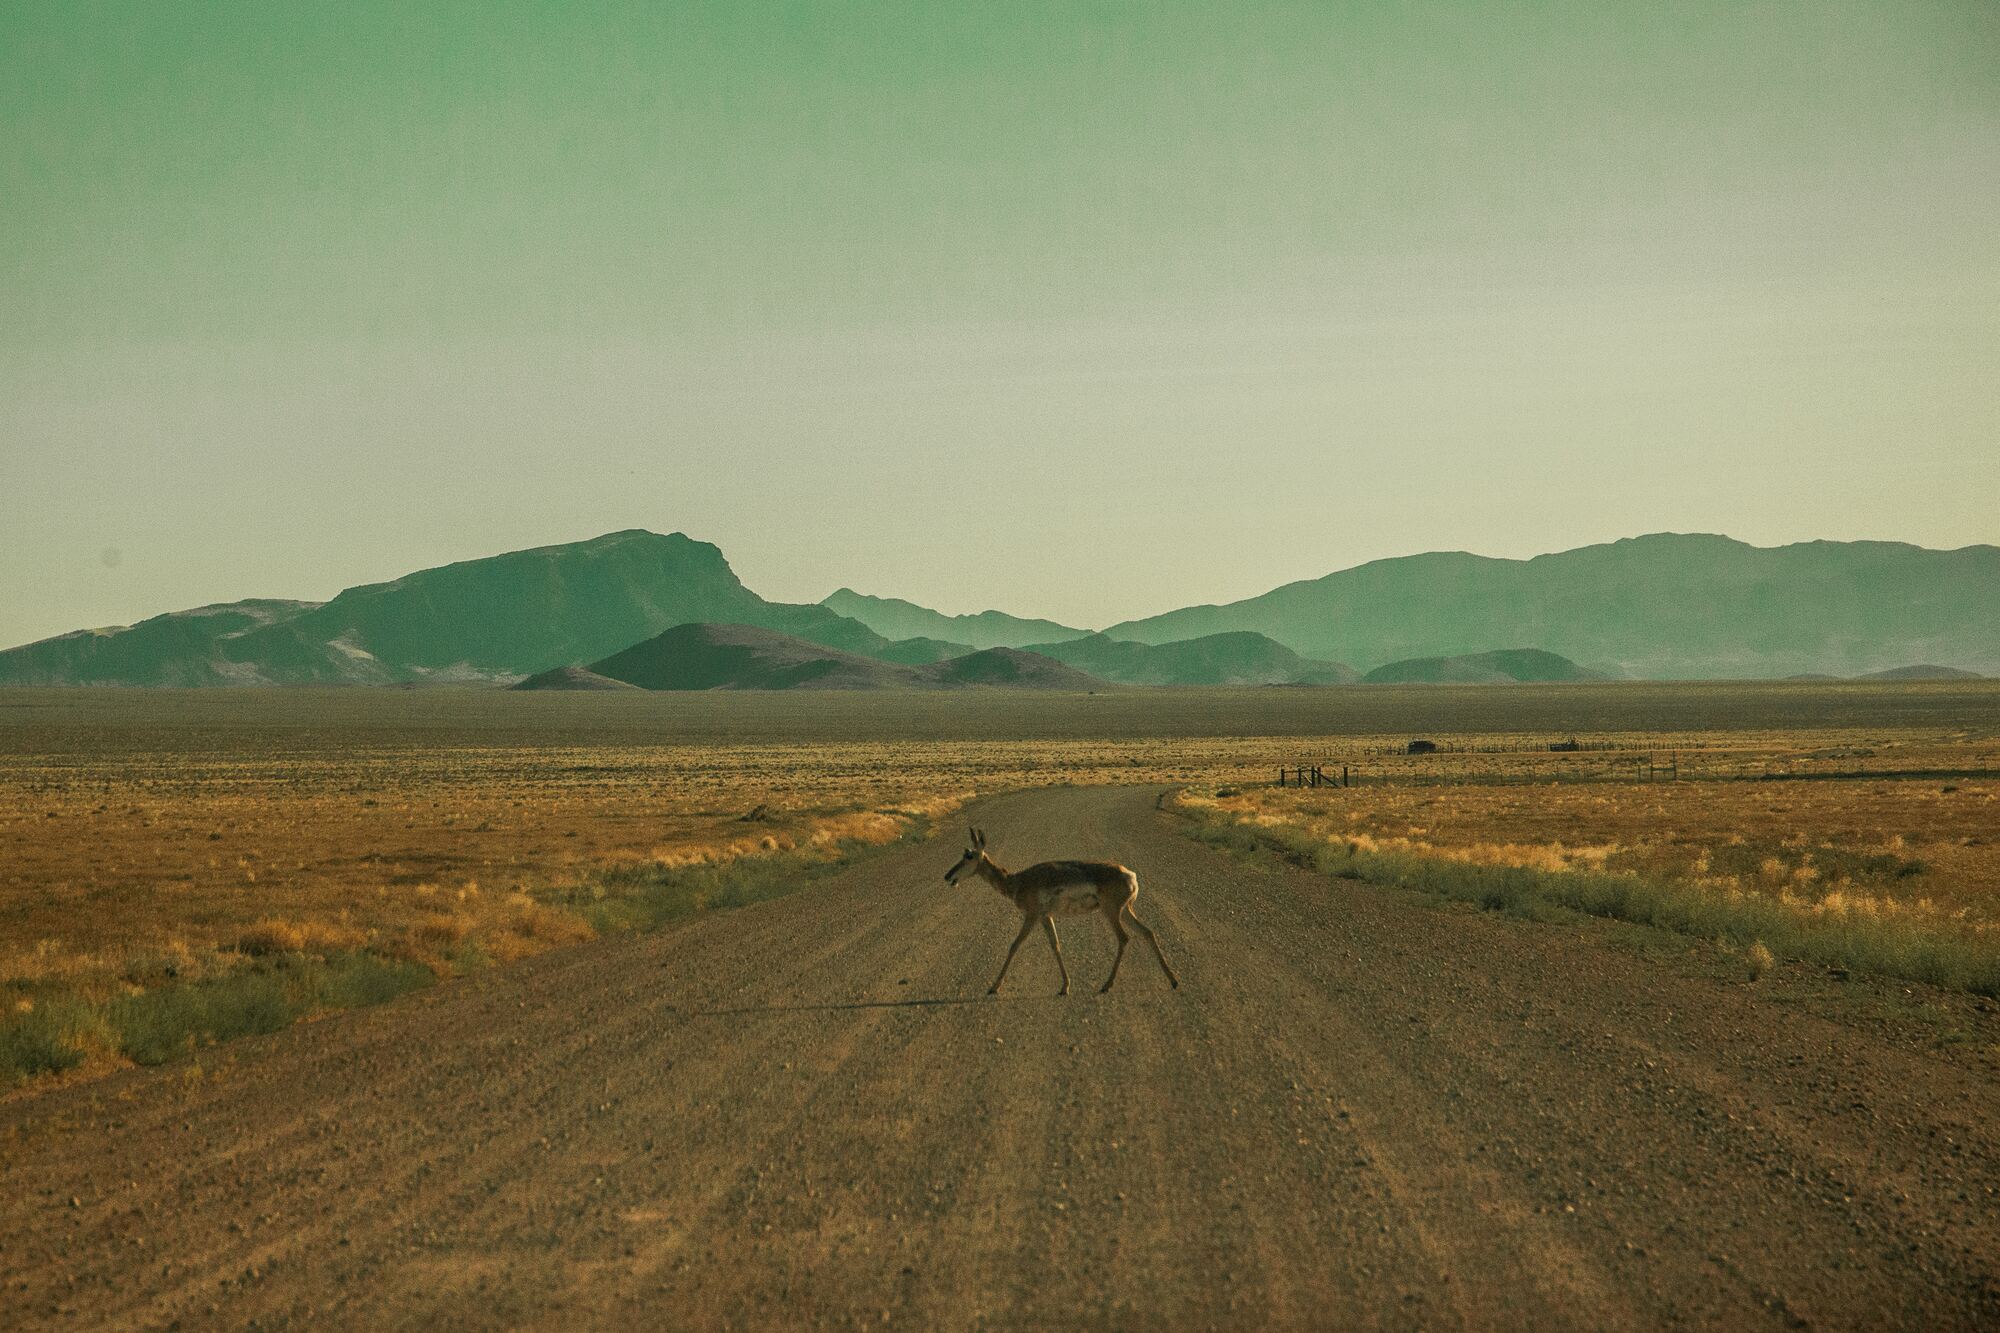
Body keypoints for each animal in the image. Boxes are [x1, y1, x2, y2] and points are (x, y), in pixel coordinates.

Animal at [944, 824, 1176, 992]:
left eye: (969, 855)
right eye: (964, 852)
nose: (947, 876)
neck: (1018, 881)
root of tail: (1130, 875)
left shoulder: (1032, 915)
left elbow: (1014, 945)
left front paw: (994, 986)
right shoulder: (1046, 916)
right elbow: (1055, 945)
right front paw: (1065, 986)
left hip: (1111, 912)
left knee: (1124, 938)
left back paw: (1107, 985)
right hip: (1125, 911)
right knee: (1148, 932)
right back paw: (1173, 980)